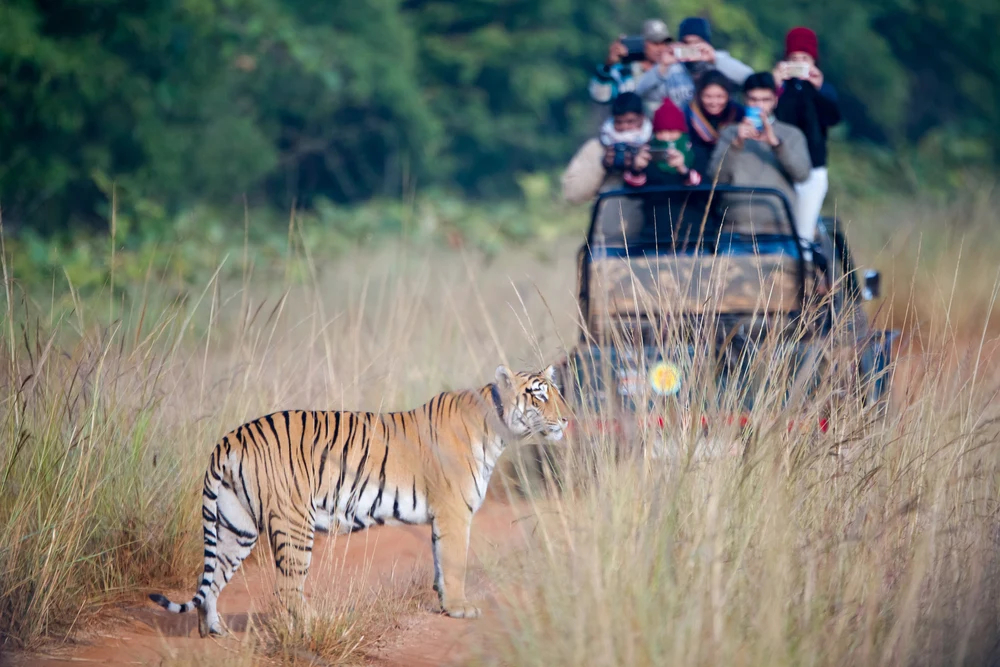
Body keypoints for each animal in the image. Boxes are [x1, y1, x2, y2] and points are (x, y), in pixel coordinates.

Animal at [148, 364, 571, 637]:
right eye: (539, 396)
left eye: (559, 394)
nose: (567, 420)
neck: (498, 427)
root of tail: (230, 438)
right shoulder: (454, 513)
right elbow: (454, 563)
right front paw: (459, 608)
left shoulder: (444, 517)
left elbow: (439, 562)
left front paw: (444, 604)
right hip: (293, 524)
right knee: (286, 589)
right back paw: (312, 625)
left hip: (236, 526)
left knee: (212, 579)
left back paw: (213, 629)